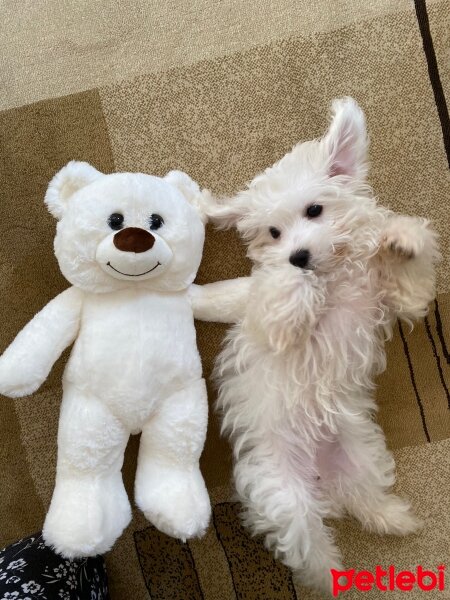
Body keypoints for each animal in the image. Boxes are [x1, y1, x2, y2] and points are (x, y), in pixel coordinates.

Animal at [200, 97, 440, 592]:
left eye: (314, 210)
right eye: (272, 232)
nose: (299, 255)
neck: (335, 276)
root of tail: (318, 480)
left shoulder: (404, 298)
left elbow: (411, 270)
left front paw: (400, 238)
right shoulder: (270, 315)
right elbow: (281, 292)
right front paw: (298, 280)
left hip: (360, 455)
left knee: (364, 497)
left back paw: (396, 519)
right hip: (284, 498)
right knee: (309, 547)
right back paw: (331, 578)